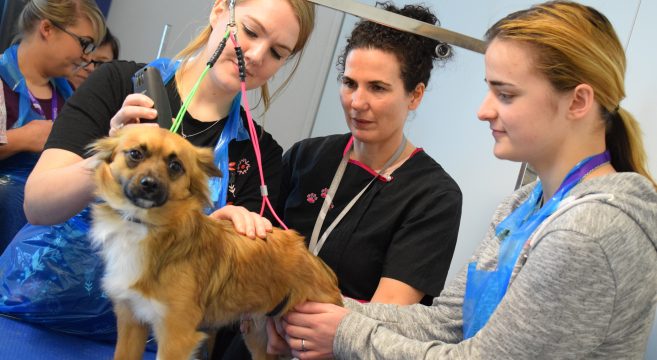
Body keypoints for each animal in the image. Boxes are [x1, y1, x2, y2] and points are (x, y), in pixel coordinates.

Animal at [89, 125, 340, 358]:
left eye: (175, 166)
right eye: (135, 154)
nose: (149, 184)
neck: (144, 226)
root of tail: (314, 260)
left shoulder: (176, 337)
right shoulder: (131, 321)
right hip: (258, 336)